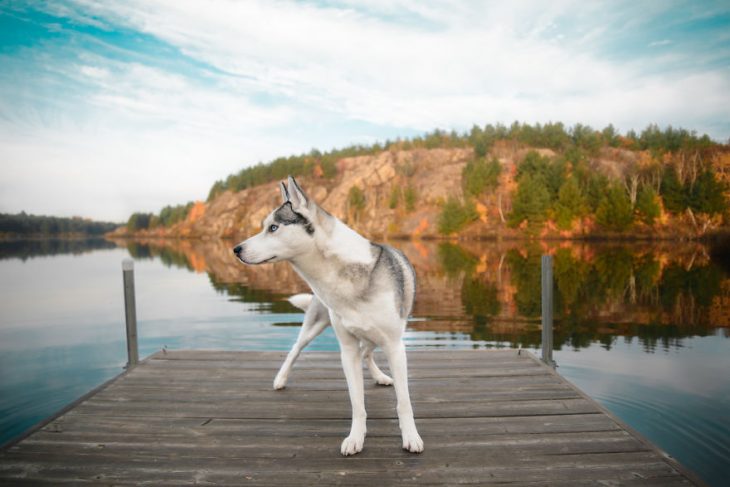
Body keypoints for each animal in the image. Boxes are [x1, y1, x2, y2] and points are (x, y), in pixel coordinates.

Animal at [233, 177, 424, 456]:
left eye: (273, 227)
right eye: (265, 227)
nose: (236, 249)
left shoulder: (395, 345)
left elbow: (404, 402)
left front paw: (411, 436)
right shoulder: (347, 350)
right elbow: (357, 403)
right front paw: (355, 438)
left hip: (376, 336)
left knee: (368, 352)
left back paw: (380, 376)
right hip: (315, 324)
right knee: (295, 349)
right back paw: (280, 379)